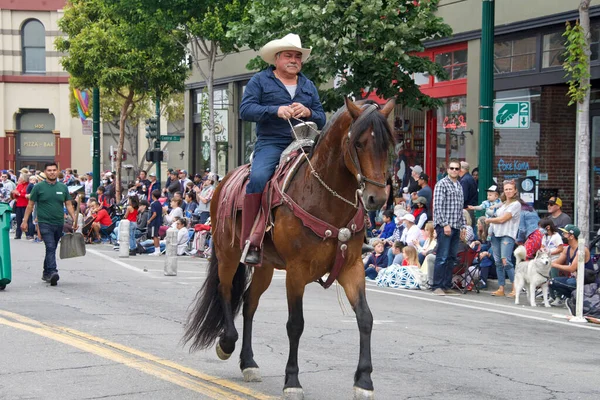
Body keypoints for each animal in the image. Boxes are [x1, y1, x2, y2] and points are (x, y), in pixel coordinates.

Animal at [183, 97, 398, 400]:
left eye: (386, 145)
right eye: (358, 143)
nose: (376, 198)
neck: (325, 199)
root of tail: (223, 181)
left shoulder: (352, 267)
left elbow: (365, 318)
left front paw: (364, 381)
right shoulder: (297, 271)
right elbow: (295, 324)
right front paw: (292, 380)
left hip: (265, 265)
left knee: (249, 303)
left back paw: (248, 362)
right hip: (228, 255)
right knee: (225, 291)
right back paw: (226, 343)